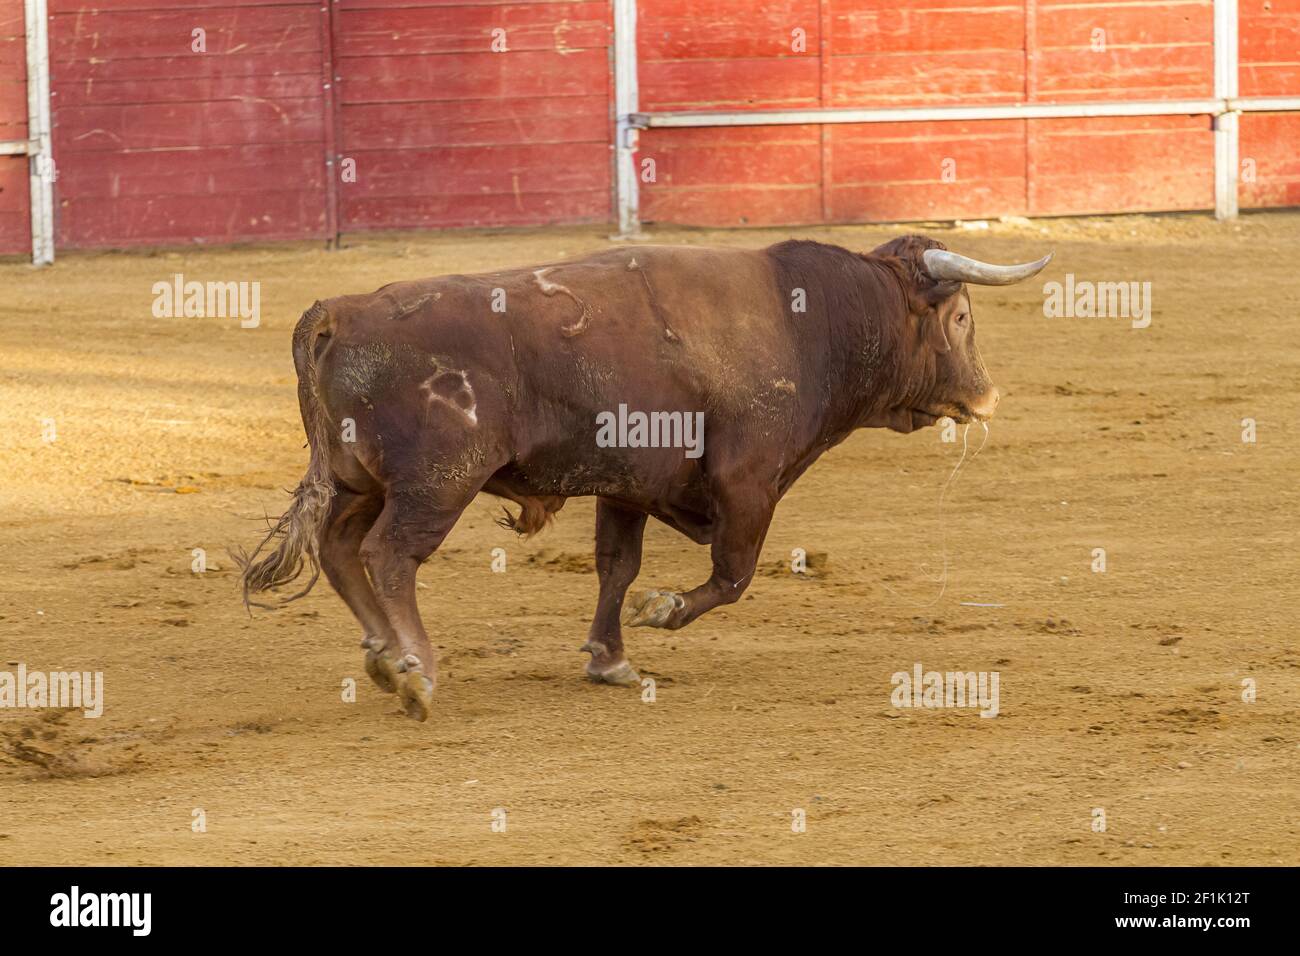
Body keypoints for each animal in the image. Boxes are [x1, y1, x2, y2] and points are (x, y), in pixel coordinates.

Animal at [239, 235, 1050, 723]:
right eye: (962, 317)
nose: (987, 397)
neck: (811, 322)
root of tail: (339, 313)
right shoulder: (748, 483)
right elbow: (732, 575)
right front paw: (663, 612)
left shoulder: (625, 487)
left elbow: (616, 567)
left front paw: (611, 659)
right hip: (436, 484)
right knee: (390, 557)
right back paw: (414, 671)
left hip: (357, 483)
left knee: (341, 552)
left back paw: (382, 657)